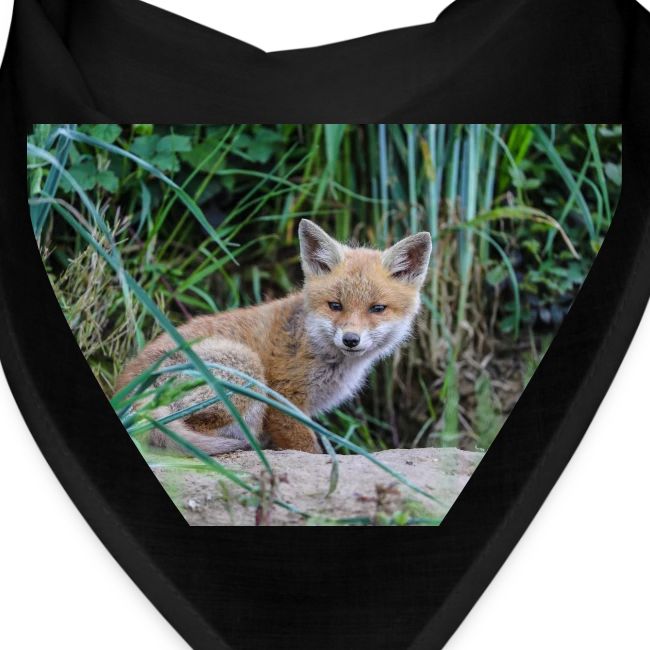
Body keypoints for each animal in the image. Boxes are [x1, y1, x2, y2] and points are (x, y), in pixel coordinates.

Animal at [116, 219, 432, 455]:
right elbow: (308, 448)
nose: (351, 339)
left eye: (377, 309)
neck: (313, 344)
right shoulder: (283, 400)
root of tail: (125, 393)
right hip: (246, 369)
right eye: (335, 305)